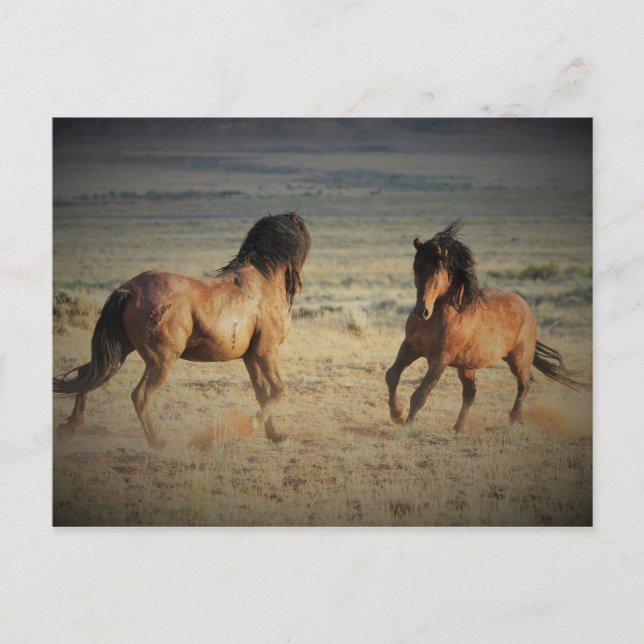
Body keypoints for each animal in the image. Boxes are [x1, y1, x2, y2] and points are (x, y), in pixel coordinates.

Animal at [54, 212, 311, 450]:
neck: (263, 281)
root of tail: (128, 290)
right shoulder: (266, 351)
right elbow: (278, 391)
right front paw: (245, 427)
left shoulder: (250, 356)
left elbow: (262, 393)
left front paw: (275, 435)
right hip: (161, 361)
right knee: (140, 395)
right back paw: (158, 442)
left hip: (121, 349)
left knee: (87, 374)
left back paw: (69, 428)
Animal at [385, 220, 587, 432]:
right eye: (416, 268)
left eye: (437, 270)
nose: (421, 311)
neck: (439, 316)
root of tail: (526, 308)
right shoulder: (410, 348)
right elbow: (392, 376)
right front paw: (397, 414)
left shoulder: (440, 359)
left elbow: (421, 393)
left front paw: (406, 424)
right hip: (466, 365)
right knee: (470, 393)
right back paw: (458, 428)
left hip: (518, 360)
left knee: (525, 383)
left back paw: (514, 420)